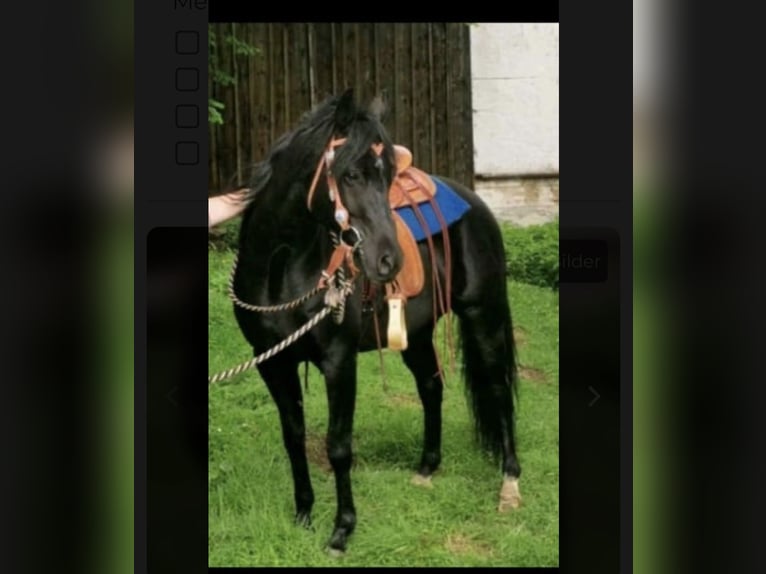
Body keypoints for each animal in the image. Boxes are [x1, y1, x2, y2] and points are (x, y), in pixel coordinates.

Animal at [229, 89, 522, 554]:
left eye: (387, 179)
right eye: (350, 174)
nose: (389, 261)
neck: (282, 269)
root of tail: (475, 203)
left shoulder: (338, 361)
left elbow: (338, 446)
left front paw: (341, 530)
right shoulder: (271, 362)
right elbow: (294, 436)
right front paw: (304, 513)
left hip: (483, 315)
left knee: (497, 389)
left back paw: (509, 484)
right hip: (416, 334)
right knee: (431, 387)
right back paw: (427, 468)